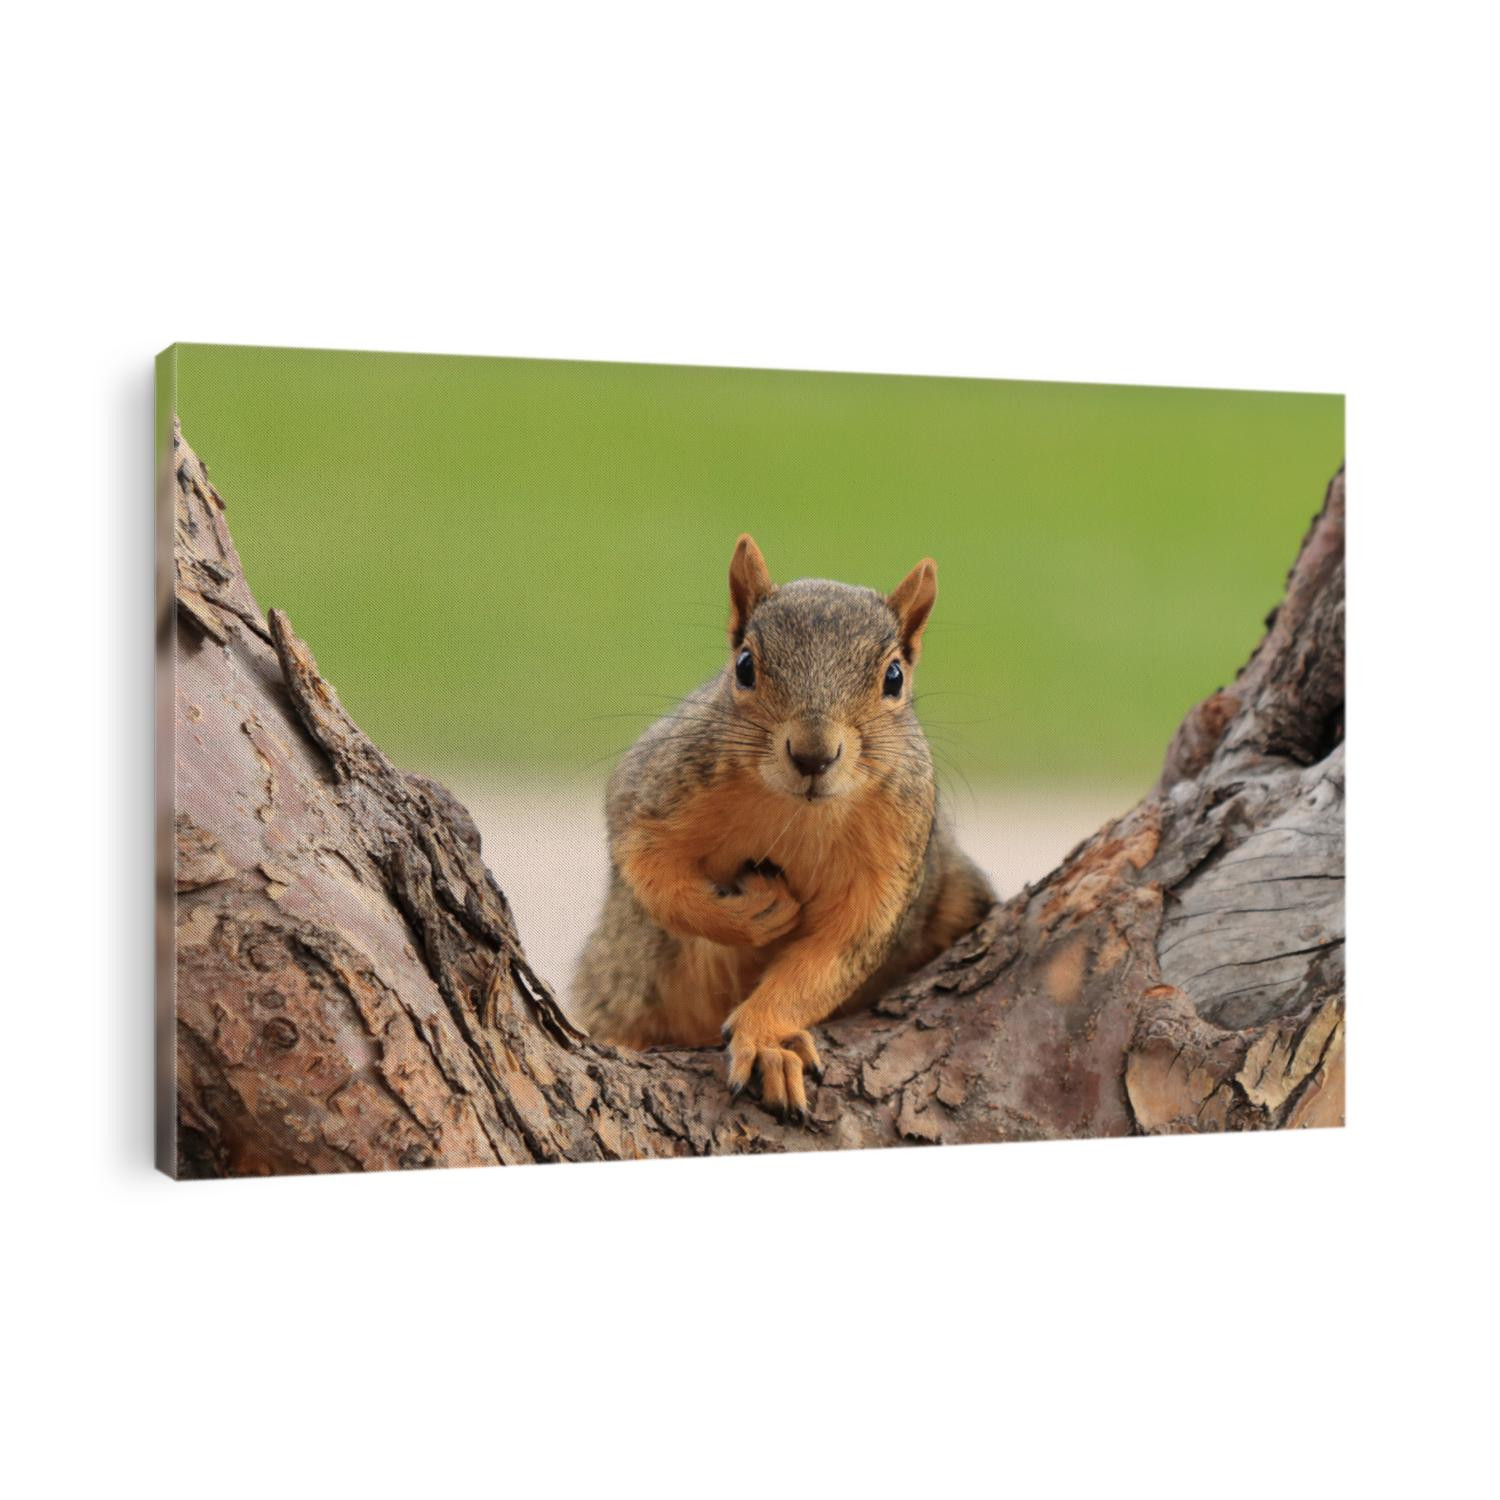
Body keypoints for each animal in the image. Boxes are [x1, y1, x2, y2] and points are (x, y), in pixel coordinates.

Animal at [569, 535, 995, 1122]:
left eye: (894, 679)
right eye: (745, 666)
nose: (814, 756)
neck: (799, 813)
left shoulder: (894, 860)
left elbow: (833, 957)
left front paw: (768, 1040)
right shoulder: (654, 789)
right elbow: (650, 873)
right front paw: (750, 914)